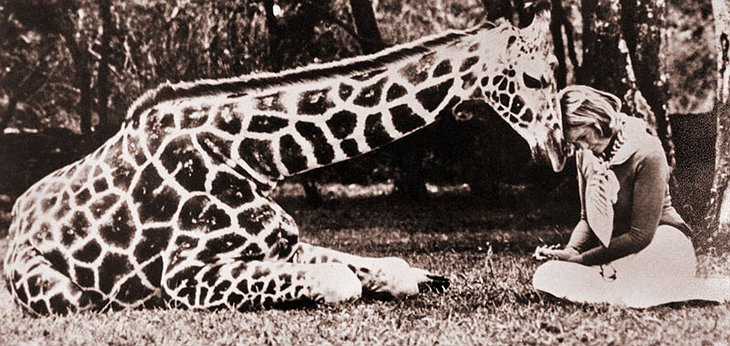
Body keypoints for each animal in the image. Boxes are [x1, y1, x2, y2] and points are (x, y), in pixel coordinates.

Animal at [2, 8, 564, 316]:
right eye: (534, 78)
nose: (555, 153)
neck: (255, 159)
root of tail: (19, 213)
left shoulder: (286, 246)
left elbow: (390, 267)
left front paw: (421, 277)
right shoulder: (186, 273)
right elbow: (343, 282)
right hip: (62, 290)